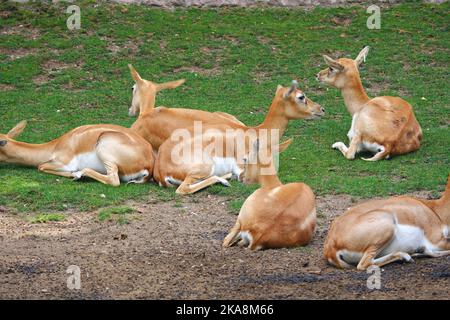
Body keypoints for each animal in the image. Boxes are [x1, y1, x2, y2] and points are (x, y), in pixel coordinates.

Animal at [0, 120, 155, 186]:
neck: (54, 146)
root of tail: (149, 163)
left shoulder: (64, 163)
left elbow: (41, 166)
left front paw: (73, 175)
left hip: (105, 147)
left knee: (113, 180)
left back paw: (79, 175)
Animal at [153, 81, 326, 194]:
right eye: (301, 96)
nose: (322, 109)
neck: (255, 132)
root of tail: (160, 171)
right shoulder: (242, 165)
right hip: (204, 167)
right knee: (183, 189)